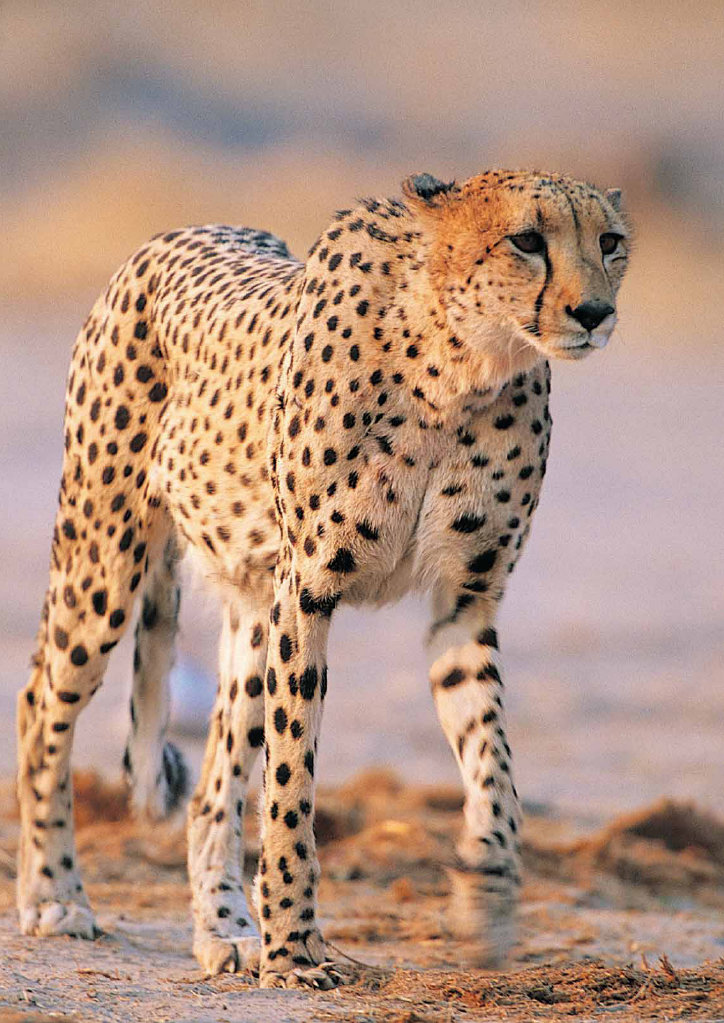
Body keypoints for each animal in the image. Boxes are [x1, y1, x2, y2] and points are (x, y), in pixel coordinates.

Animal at [17, 168, 630, 989]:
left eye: (610, 241)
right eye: (527, 240)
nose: (594, 312)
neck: (460, 367)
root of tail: (175, 234)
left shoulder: (465, 602)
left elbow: (494, 767)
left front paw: (487, 899)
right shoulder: (308, 592)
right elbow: (290, 786)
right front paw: (293, 948)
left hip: (250, 616)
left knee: (210, 787)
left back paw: (225, 926)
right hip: (102, 564)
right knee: (39, 703)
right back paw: (55, 895)